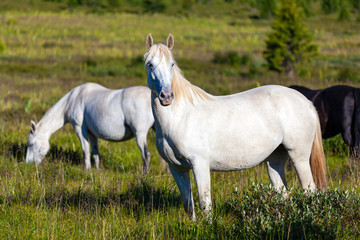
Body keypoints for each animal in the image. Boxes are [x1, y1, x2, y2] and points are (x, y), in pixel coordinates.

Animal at [25, 82, 155, 172]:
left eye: (31, 144)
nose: (28, 164)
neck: (72, 99)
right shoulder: (92, 133)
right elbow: (95, 152)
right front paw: (97, 170)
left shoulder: (79, 128)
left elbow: (86, 150)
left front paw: (87, 170)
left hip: (140, 134)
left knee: (146, 154)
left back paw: (144, 175)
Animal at [143, 32, 326, 220]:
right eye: (150, 64)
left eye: (172, 64)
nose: (166, 96)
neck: (181, 117)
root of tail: (307, 102)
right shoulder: (177, 169)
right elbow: (188, 204)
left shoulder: (200, 164)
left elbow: (205, 202)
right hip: (274, 159)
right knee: (282, 193)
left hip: (299, 156)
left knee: (309, 190)